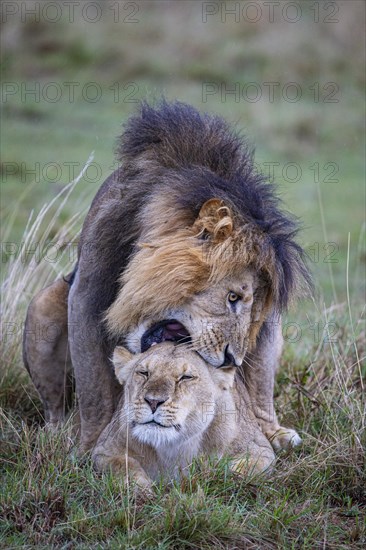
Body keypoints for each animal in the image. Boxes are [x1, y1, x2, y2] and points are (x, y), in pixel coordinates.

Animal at [22, 101, 310, 454]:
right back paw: (58, 433)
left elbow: (260, 382)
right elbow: (95, 391)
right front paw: (91, 444)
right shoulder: (87, 295)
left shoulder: (267, 330)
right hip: (42, 306)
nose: (232, 358)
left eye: (256, 310)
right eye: (232, 297)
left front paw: (268, 432)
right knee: (56, 407)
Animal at [93, 342, 276, 490]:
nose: (153, 401)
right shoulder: (103, 451)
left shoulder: (260, 450)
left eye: (186, 377)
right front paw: (142, 490)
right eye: (144, 372)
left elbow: (240, 469)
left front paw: (213, 479)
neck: (172, 446)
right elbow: (122, 465)